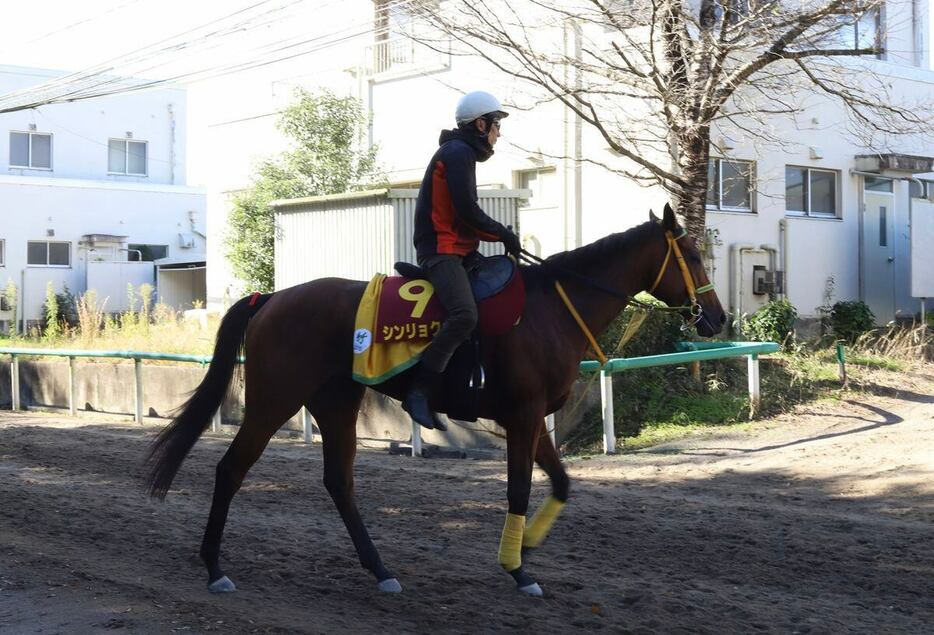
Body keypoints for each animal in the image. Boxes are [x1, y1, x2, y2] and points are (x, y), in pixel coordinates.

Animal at [146, 206, 728, 600]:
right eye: (693, 256)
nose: (718, 318)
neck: (552, 309)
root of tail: (270, 297)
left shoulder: (532, 417)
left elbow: (562, 482)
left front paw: (527, 548)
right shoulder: (521, 415)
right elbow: (519, 489)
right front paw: (517, 567)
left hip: (336, 402)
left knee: (339, 482)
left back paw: (380, 570)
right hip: (276, 400)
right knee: (232, 469)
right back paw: (215, 567)